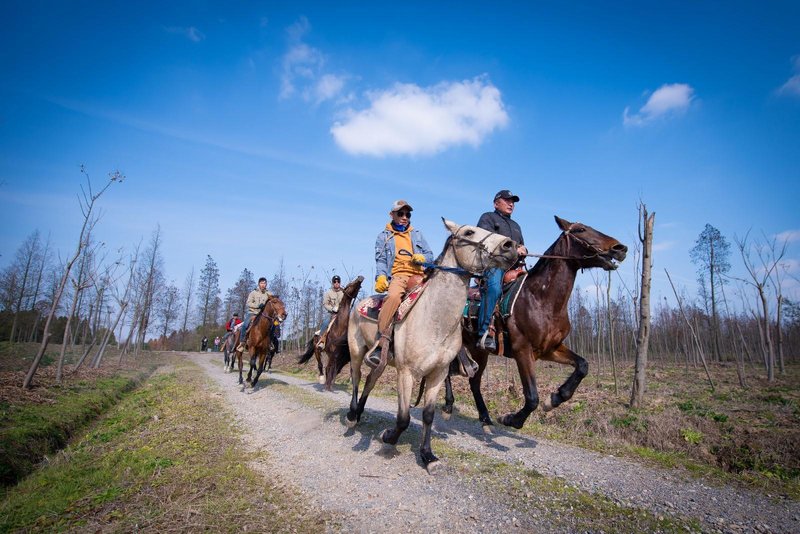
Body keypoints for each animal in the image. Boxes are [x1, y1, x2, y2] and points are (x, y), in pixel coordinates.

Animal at [346, 220, 516, 476]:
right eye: (469, 232)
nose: (510, 246)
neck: (433, 318)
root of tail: (361, 304)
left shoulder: (438, 374)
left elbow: (427, 415)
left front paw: (428, 456)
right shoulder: (406, 373)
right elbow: (404, 418)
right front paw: (388, 437)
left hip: (382, 362)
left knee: (369, 381)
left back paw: (359, 413)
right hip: (357, 352)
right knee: (356, 378)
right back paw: (351, 416)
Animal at [454, 218, 628, 432]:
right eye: (580, 229)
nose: (619, 248)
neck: (541, 299)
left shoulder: (549, 349)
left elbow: (582, 365)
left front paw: (554, 399)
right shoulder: (522, 351)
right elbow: (532, 397)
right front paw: (511, 419)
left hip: (478, 351)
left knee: (471, 382)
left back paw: (482, 416)